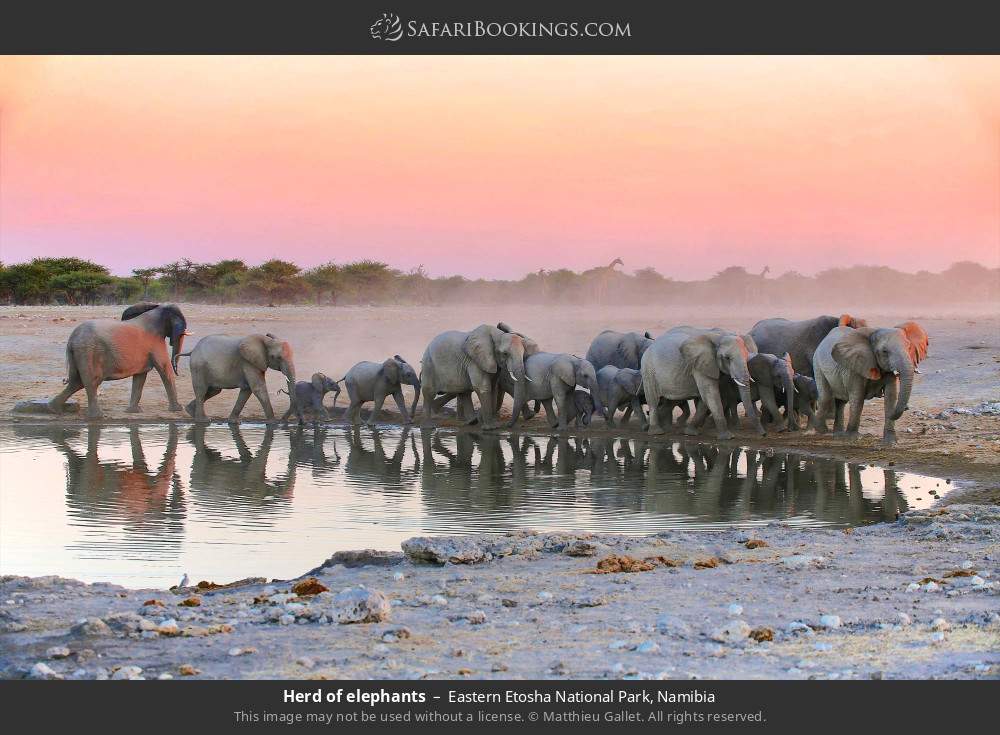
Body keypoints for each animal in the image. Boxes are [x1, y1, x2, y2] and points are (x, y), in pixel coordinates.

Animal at [48, 302, 189, 419]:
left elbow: (140, 376)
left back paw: (54, 409)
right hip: (89, 352)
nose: (178, 370)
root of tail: (72, 339)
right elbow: (164, 368)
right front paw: (178, 409)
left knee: (76, 382)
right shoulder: (156, 343)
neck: (158, 308)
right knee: (92, 381)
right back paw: (97, 417)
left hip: (78, 353)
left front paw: (133, 412)